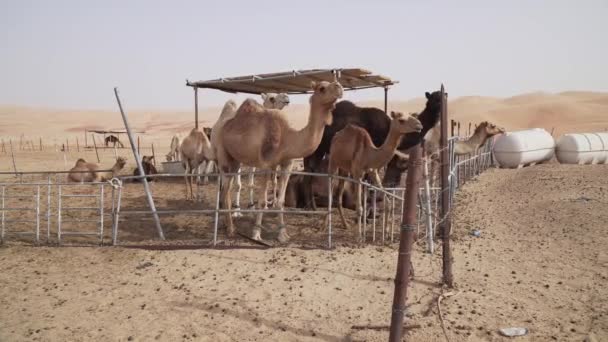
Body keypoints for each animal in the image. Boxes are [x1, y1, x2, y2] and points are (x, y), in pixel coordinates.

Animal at [217, 80, 342, 242]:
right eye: (322, 88)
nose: (339, 87)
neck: (288, 138)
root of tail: (224, 125)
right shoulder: (265, 164)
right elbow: (262, 201)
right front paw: (256, 233)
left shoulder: (287, 164)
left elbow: (281, 201)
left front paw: (283, 234)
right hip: (222, 153)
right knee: (224, 188)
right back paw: (230, 229)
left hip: (236, 160)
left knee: (226, 189)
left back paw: (228, 224)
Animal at [302, 90, 442, 208]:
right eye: (432, 99)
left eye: (441, 97)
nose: (439, 108)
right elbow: (369, 181)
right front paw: (368, 209)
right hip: (318, 147)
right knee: (309, 170)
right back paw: (310, 206)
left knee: (311, 169)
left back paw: (312, 205)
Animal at [326, 111, 420, 239]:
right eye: (401, 120)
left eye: (412, 116)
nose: (419, 125)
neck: (369, 154)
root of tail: (336, 135)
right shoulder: (357, 174)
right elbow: (359, 208)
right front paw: (359, 236)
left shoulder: (373, 171)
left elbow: (388, 203)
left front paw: (386, 231)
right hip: (333, 162)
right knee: (330, 189)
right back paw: (324, 225)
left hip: (344, 169)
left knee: (338, 194)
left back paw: (345, 225)